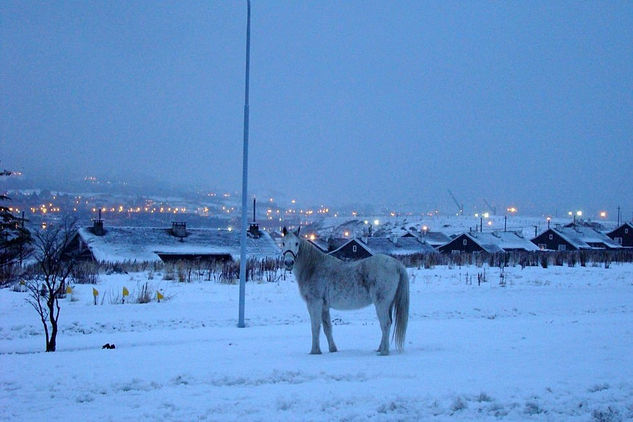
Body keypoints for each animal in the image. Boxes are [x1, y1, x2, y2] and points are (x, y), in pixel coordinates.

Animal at [282, 227, 410, 356]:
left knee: (385, 324)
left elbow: (315, 327)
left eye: (296, 243)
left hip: (382, 303)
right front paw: (332, 349)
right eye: (283, 243)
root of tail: (396, 264)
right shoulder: (324, 307)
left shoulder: (314, 303)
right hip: (388, 304)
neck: (313, 268)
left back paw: (384, 352)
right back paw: (380, 348)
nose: (288, 262)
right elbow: (327, 328)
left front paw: (315, 351)